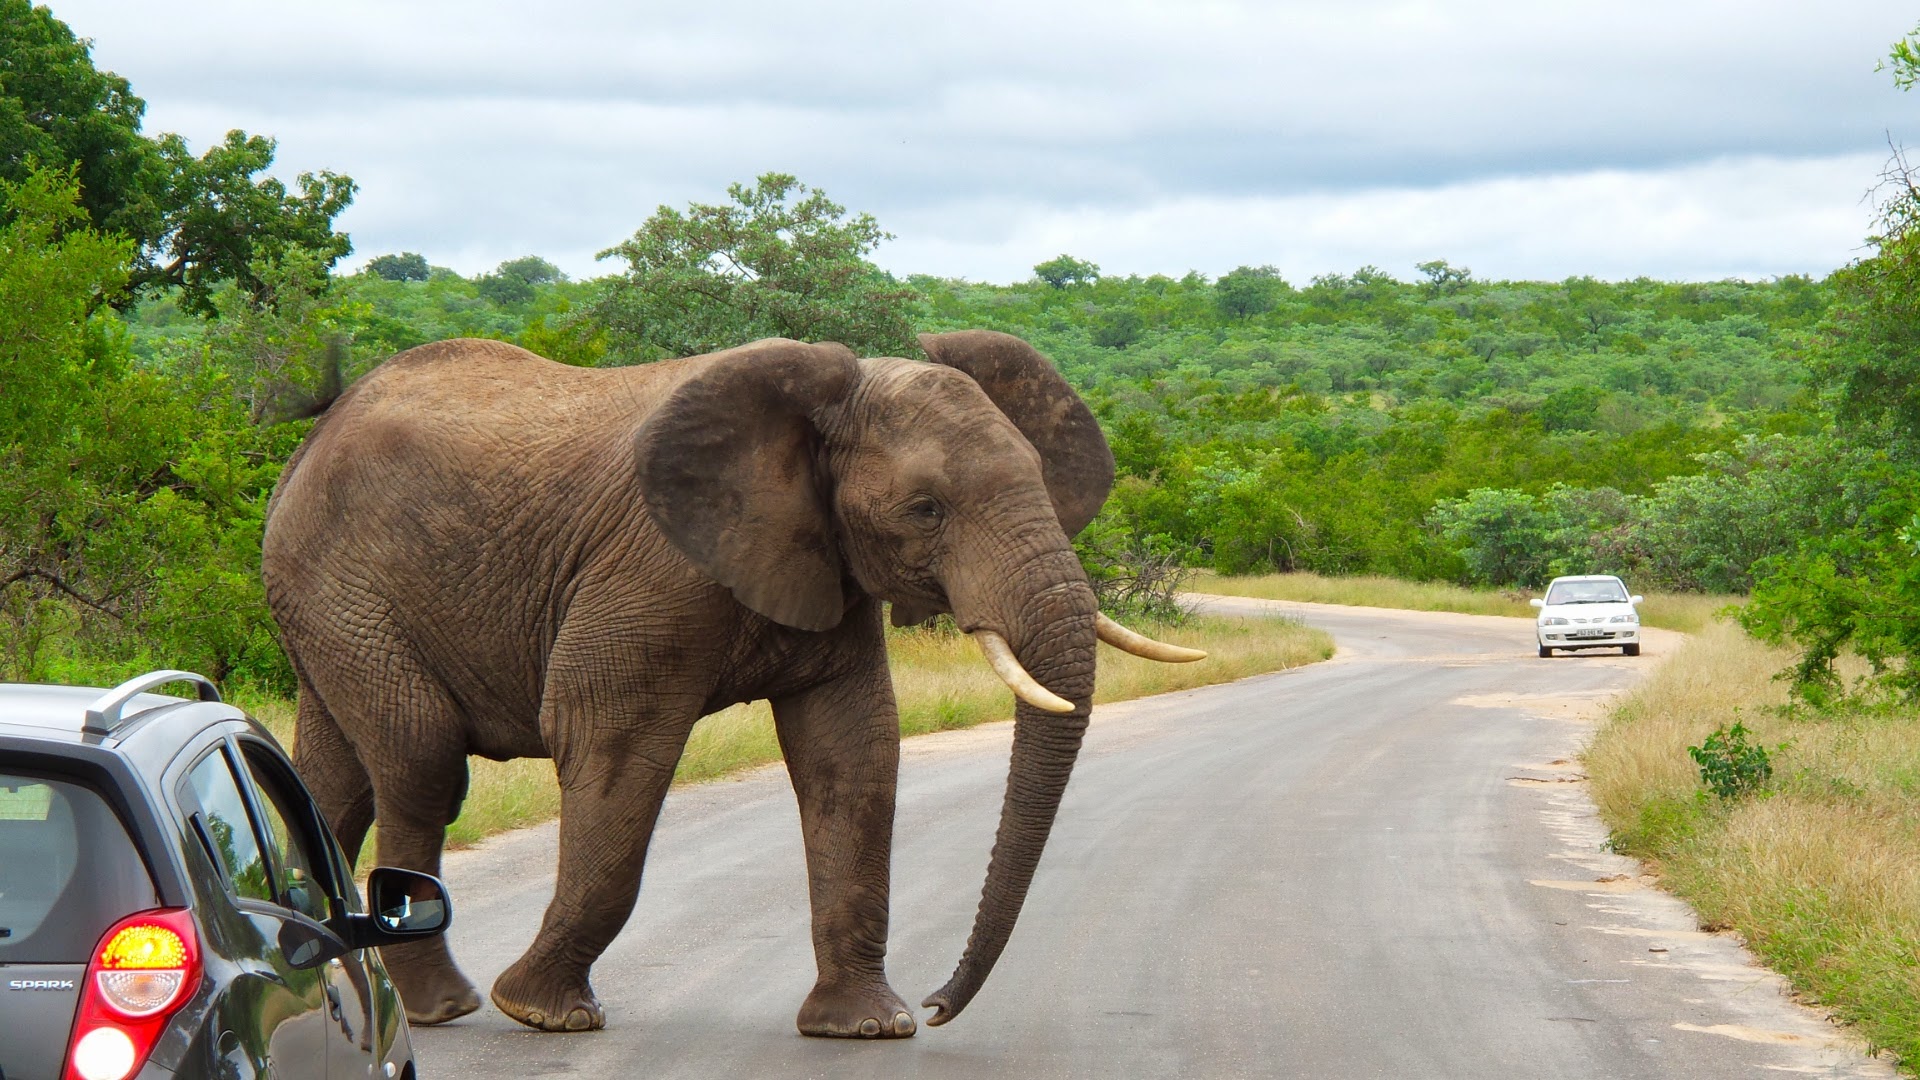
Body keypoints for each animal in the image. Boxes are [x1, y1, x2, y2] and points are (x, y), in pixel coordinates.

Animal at [259, 330, 1203, 1037]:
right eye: (926, 509)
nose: (940, 1006)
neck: (828, 404)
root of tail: (315, 434)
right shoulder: (649, 569)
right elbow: (609, 742)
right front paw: (541, 1013)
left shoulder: (828, 566)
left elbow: (854, 754)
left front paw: (866, 1026)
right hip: (343, 584)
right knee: (420, 764)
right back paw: (443, 1007)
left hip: (330, 603)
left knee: (335, 777)